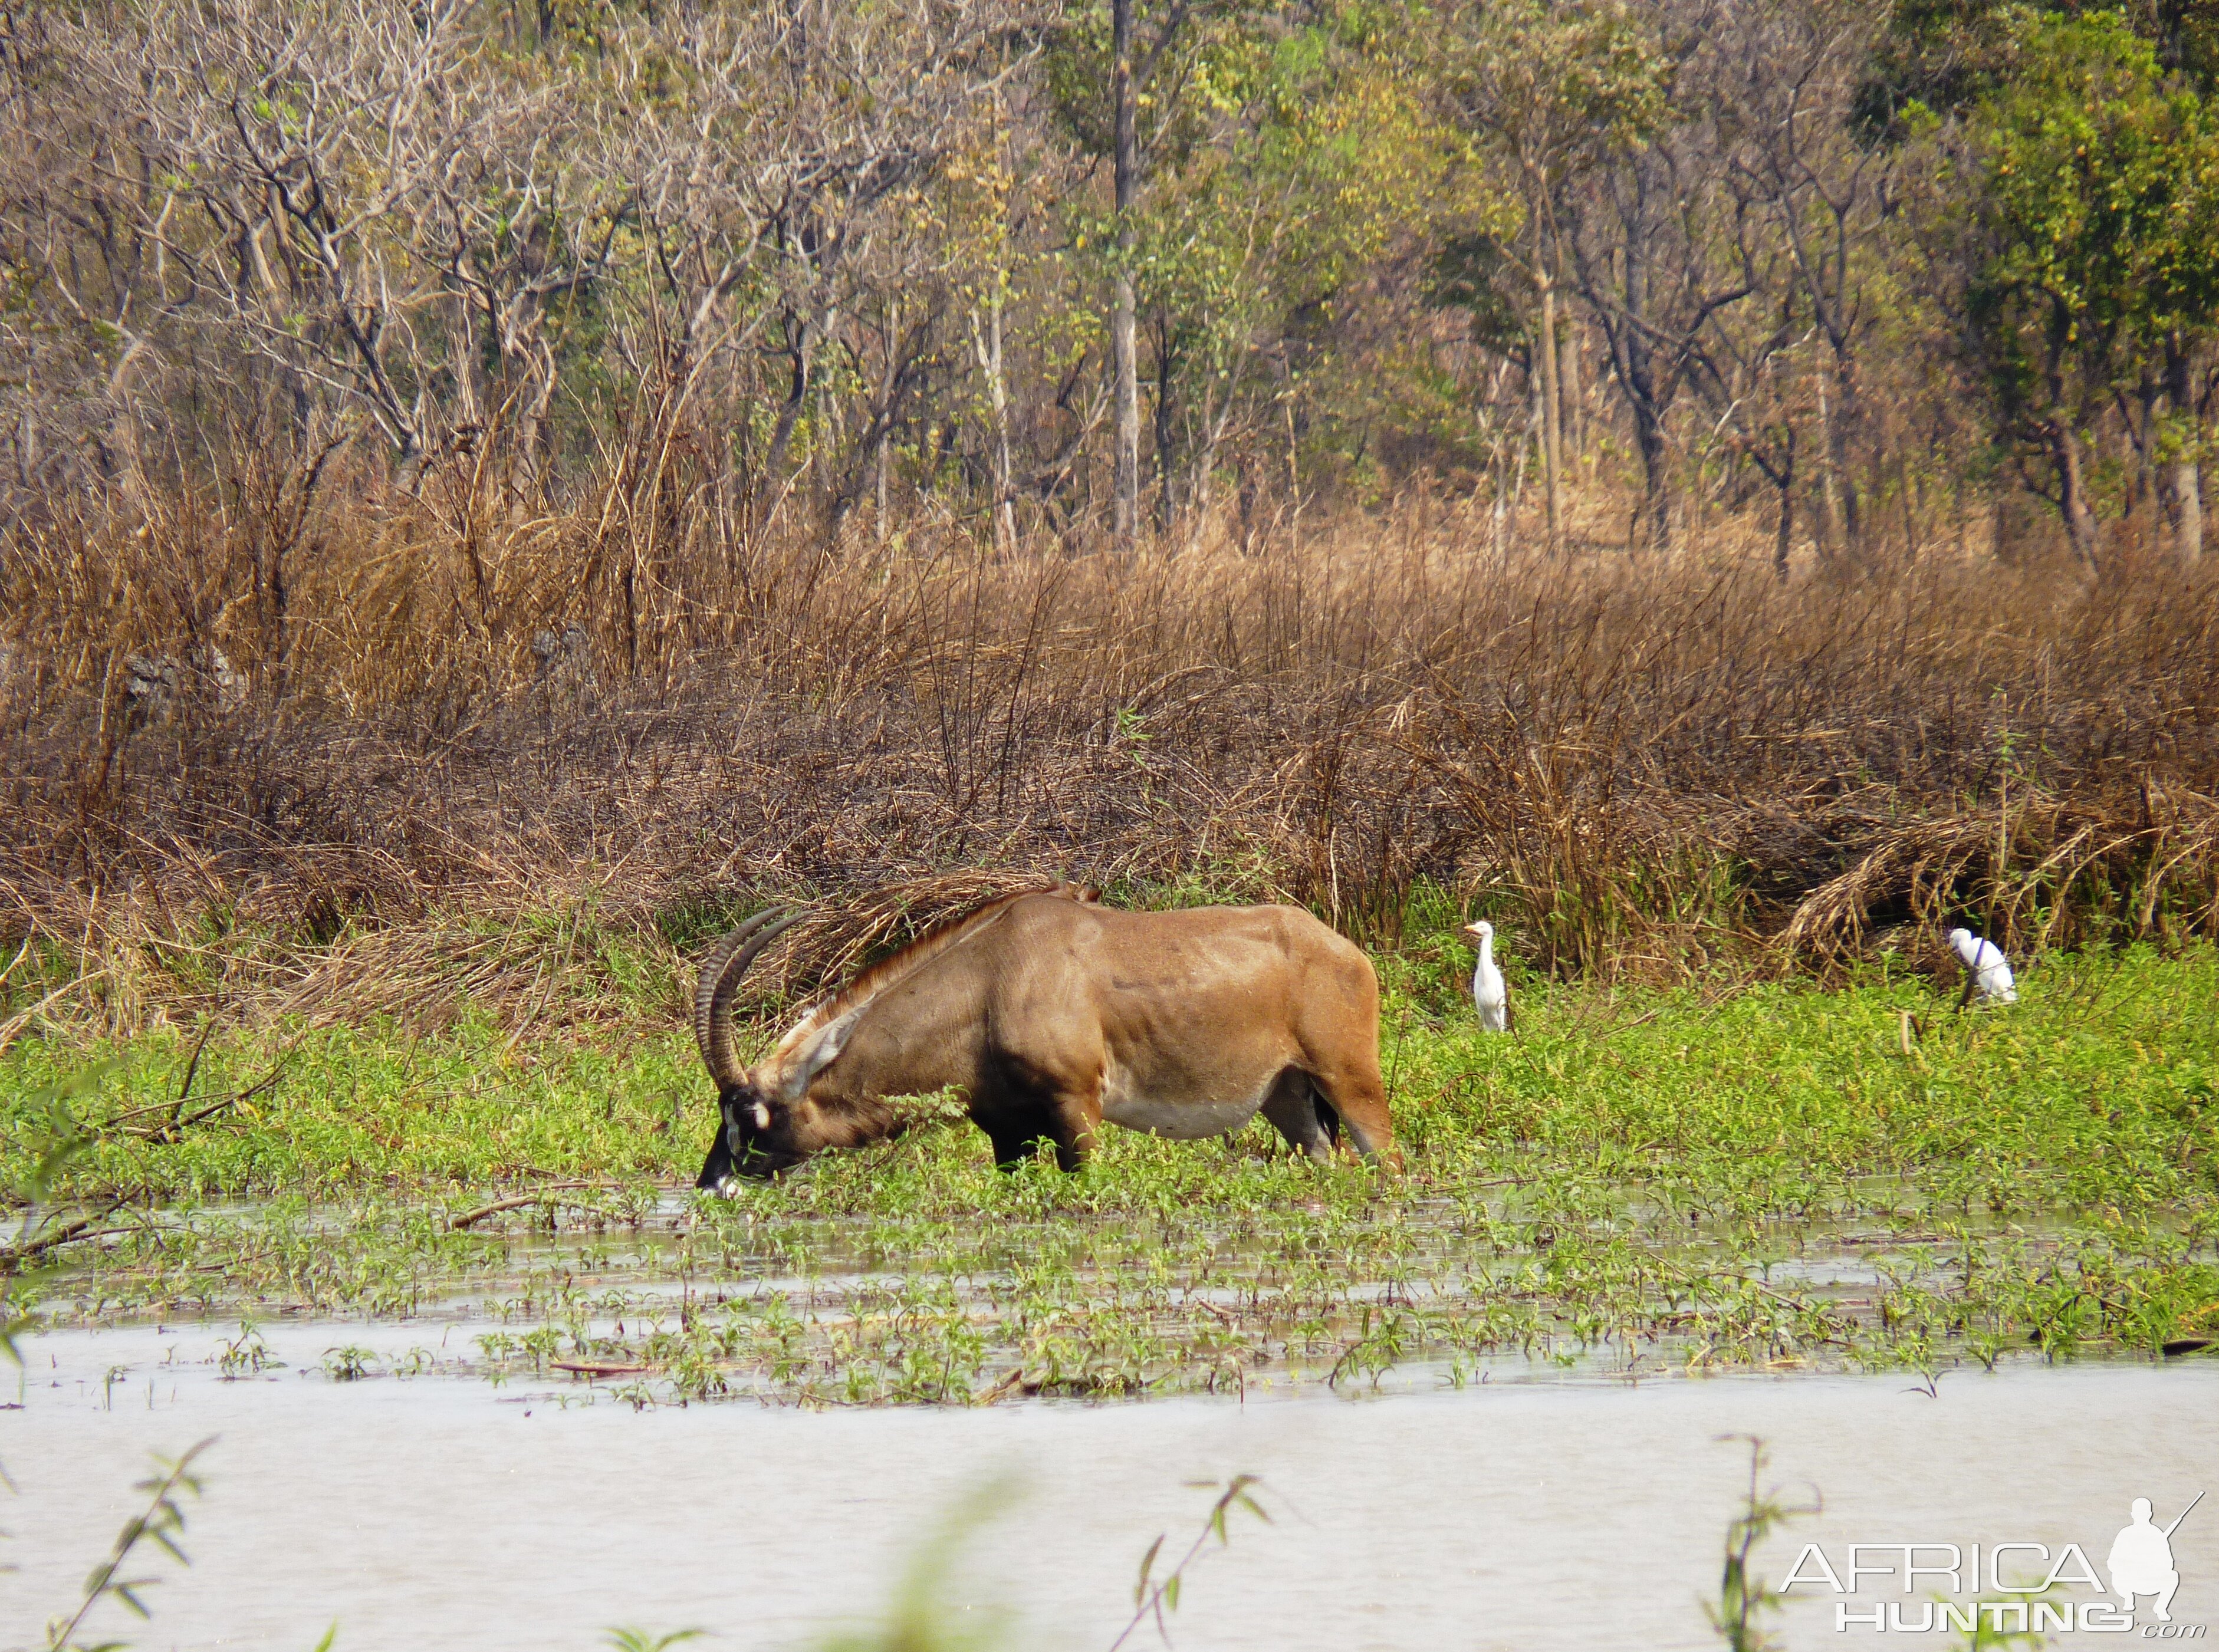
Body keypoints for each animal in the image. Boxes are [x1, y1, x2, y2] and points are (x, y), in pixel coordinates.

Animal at [688, 891, 1402, 1188]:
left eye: (752, 1114)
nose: (711, 1187)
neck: (990, 980)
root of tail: (1340, 949)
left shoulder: (1074, 1106)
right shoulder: (1006, 1130)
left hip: (1350, 1082)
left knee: (1390, 1163)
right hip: (1287, 1099)